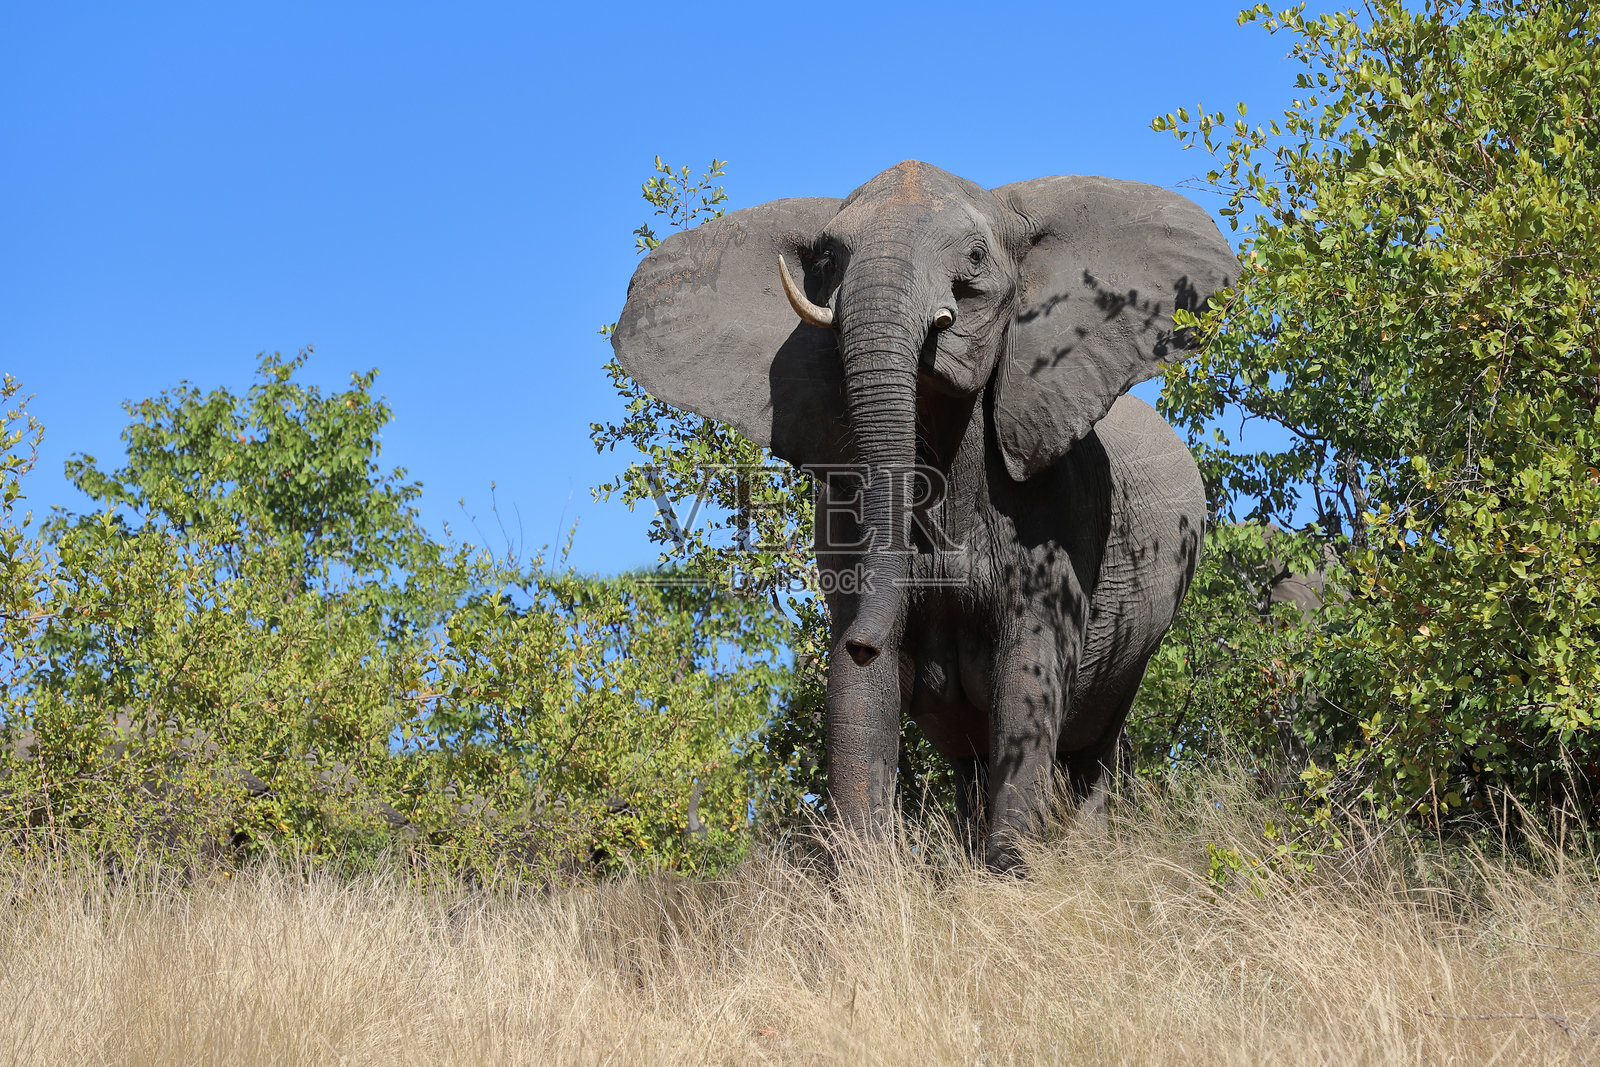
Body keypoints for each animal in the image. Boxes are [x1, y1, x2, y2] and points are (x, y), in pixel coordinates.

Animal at [611, 161, 1235, 870]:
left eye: (976, 257)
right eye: (825, 260)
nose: (861, 640)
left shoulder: (1066, 516)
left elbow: (1028, 684)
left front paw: (1008, 877)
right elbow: (859, 700)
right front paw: (866, 883)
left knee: (1093, 747)